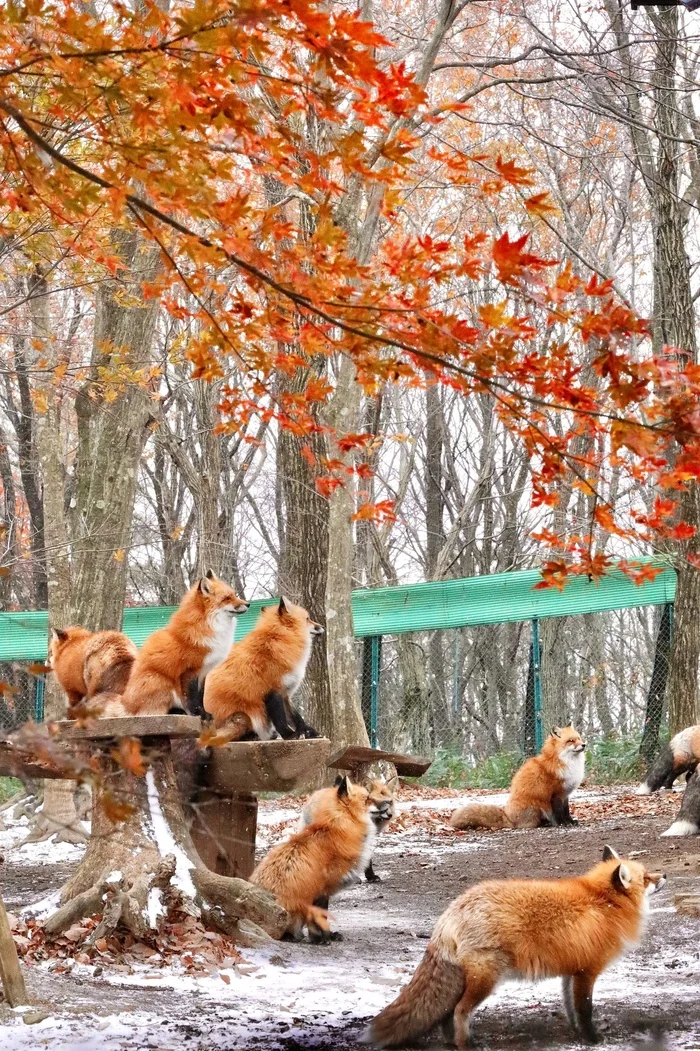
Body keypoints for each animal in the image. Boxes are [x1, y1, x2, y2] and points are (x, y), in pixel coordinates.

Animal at [122, 571, 248, 718]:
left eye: (234, 595)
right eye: (227, 598)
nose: (248, 604)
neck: (205, 626)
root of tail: (126, 707)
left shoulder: (204, 672)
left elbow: (201, 696)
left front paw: (205, 713)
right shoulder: (189, 671)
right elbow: (192, 697)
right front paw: (197, 713)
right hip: (159, 681)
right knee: (152, 712)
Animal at [201, 601, 321, 739]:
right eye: (308, 619)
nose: (321, 626)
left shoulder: (285, 692)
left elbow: (296, 717)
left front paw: (307, 731)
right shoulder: (272, 690)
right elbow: (280, 719)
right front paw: (290, 735)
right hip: (244, 717)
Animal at [248, 777, 374, 941]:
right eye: (367, 798)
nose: (388, 804)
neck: (337, 830)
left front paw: (326, 936)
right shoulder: (322, 890)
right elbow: (321, 917)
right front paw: (323, 938)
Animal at [361, 845, 664, 1051]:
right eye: (646, 878)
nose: (663, 876)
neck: (604, 904)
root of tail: (452, 911)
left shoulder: (572, 971)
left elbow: (571, 1008)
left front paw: (576, 1033)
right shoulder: (587, 972)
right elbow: (585, 1009)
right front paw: (592, 1039)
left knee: (447, 1013)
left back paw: (452, 1043)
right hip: (486, 979)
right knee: (459, 1011)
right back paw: (467, 1045)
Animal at [447, 723, 584, 828]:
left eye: (579, 738)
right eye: (570, 741)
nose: (584, 745)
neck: (566, 762)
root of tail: (509, 818)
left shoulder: (565, 794)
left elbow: (566, 811)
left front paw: (570, 822)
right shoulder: (556, 794)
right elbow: (559, 813)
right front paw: (562, 824)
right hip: (537, 807)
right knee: (527, 825)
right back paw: (545, 824)